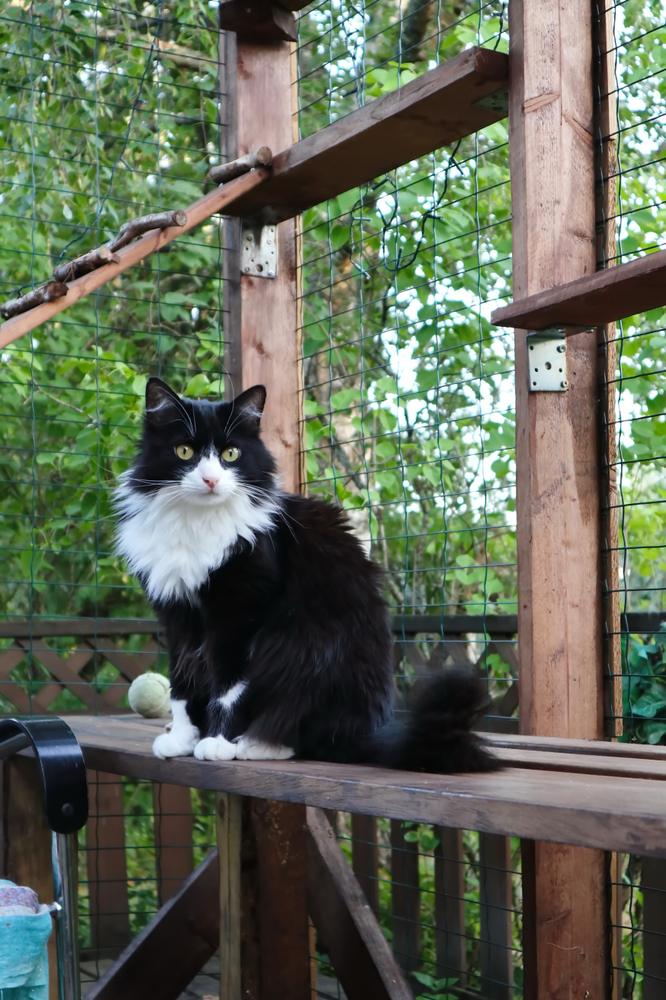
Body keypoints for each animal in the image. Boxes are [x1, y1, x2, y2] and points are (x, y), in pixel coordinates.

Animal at [116, 376, 496, 772]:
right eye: (184, 452)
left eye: (231, 454)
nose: (210, 480)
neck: (196, 524)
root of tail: (363, 734)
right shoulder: (177, 613)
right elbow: (182, 683)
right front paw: (181, 739)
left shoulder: (241, 613)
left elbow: (228, 688)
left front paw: (217, 743)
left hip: (302, 649)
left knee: (303, 736)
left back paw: (253, 745)